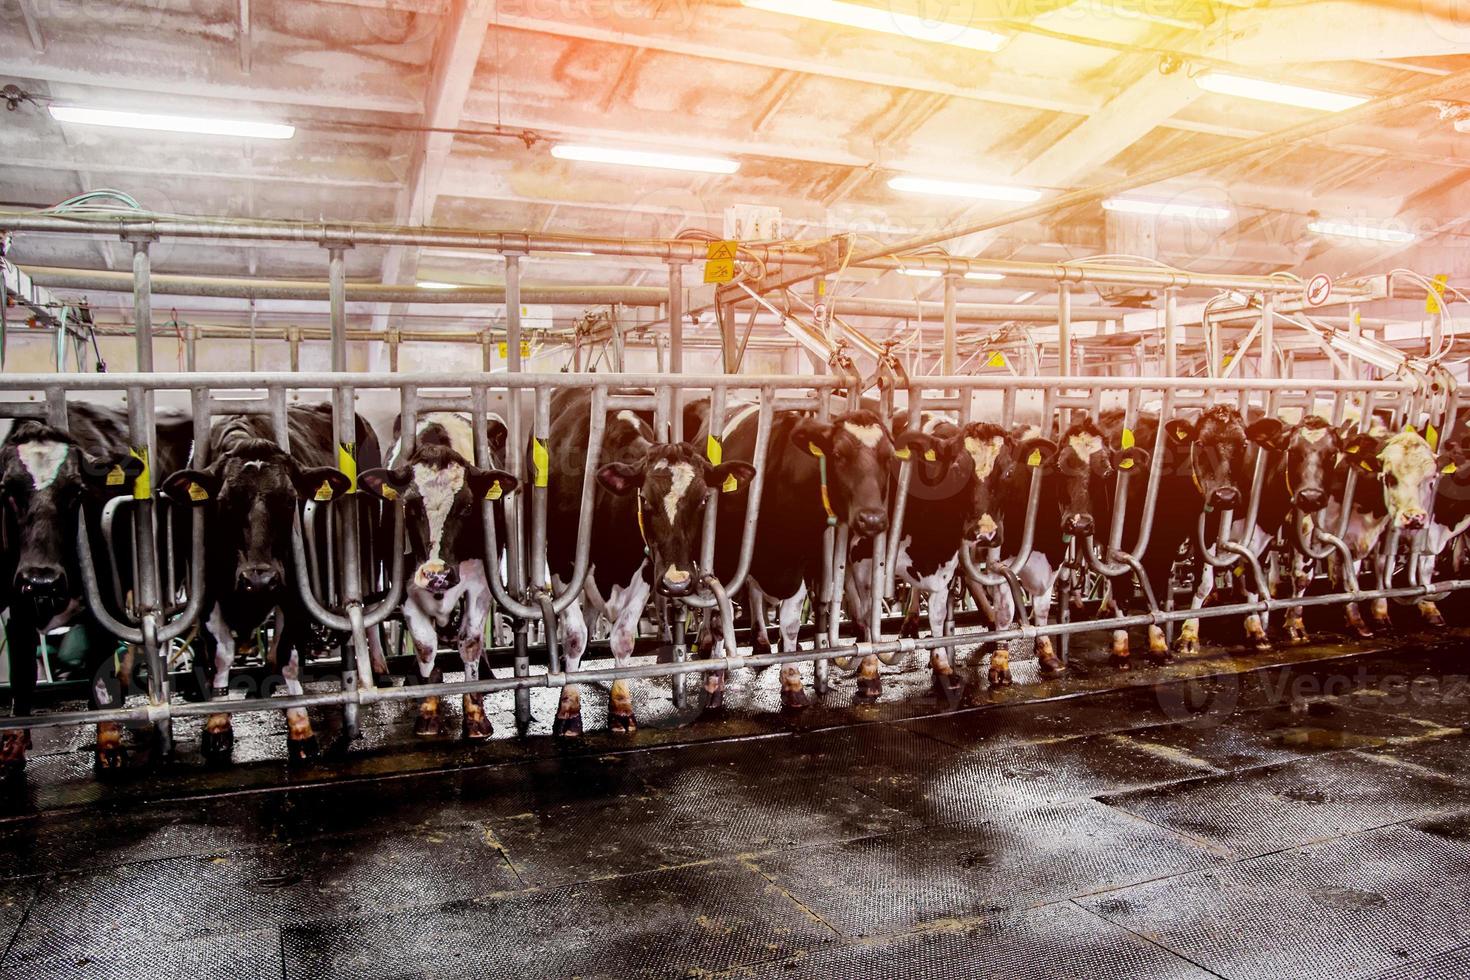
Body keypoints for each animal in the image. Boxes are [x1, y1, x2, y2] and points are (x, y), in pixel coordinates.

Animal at [0, 405, 192, 775]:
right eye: (6, 490)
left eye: (76, 491)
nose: (42, 579)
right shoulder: (17, 606)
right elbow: (21, 677)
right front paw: (12, 748)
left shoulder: (102, 602)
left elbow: (100, 675)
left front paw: (109, 745)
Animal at [155, 402, 370, 764]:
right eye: (224, 502)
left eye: (289, 499)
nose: (259, 578)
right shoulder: (206, 594)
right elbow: (220, 655)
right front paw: (216, 724)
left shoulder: (295, 591)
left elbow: (283, 658)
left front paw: (300, 726)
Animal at [355, 411, 517, 740]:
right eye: (409, 505)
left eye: (467, 507)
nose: (436, 574)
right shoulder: (406, 586)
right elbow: (425, 645)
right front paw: (428, 711)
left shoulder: (479, 583)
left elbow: (470, 642)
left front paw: (475, 715)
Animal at [546, 390, 752, 734]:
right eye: (644, 498)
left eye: (703, 500)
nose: (677, 582)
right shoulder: (561, 561)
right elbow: (574, 636)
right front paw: (568, 709)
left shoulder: (647, 569)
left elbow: (624, 637)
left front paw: (621, 706)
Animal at [702, 402, 893, 708]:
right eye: (838, 454)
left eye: (888, 457)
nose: (872, 519)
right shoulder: (724, 558)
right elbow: (721, 619)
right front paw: (712, 684)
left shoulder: (801, 562)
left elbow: (791, 622)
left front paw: (792, 682)